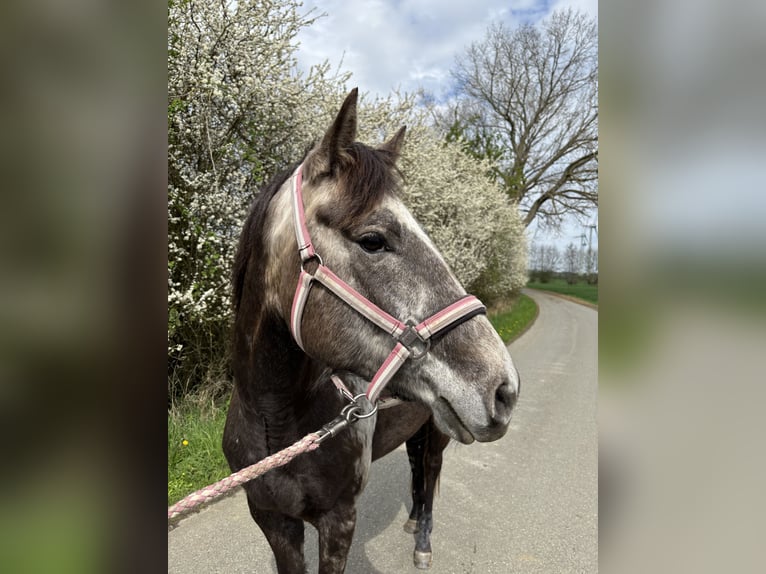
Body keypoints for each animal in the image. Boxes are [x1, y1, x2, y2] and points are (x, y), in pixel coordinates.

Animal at [222, 88, 520, 573]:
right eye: (373, 240)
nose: (504, 389)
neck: (275, 421)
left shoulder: (339, 521)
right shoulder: (273, 522)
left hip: (438, 433)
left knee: (429, 472)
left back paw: (422, 540)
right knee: (416, 468)